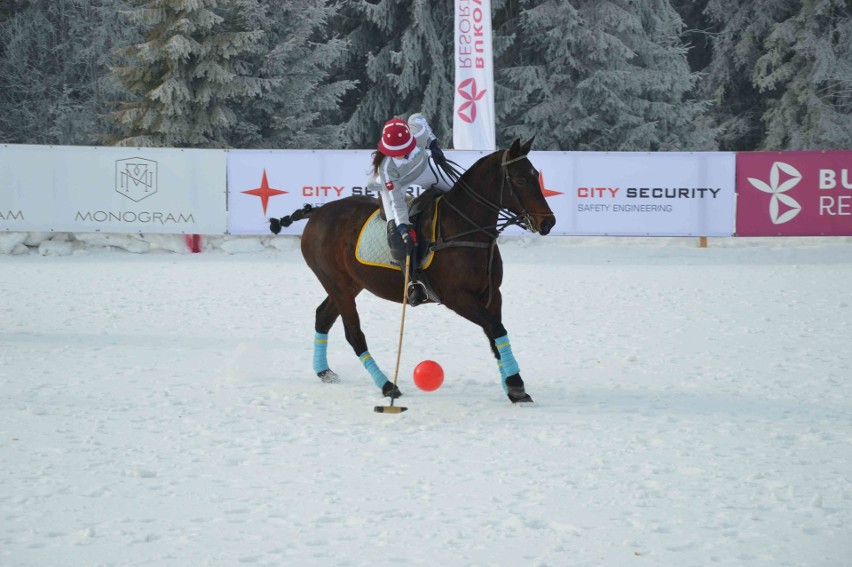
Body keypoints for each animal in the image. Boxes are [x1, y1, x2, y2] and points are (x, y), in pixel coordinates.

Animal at [270, 138, 556, 404]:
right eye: (520, 179)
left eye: (536, 175)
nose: (548, 222)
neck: (466, 226)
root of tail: (317, 212)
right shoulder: (456, 297)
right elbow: (495, 329)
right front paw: (516, 385)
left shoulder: (492, 294)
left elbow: (495, 334)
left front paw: (514, 388)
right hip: (336, 282)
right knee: (354, 334)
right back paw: (387, 385)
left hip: (350, 283)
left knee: (322, 316)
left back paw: (324, 371)